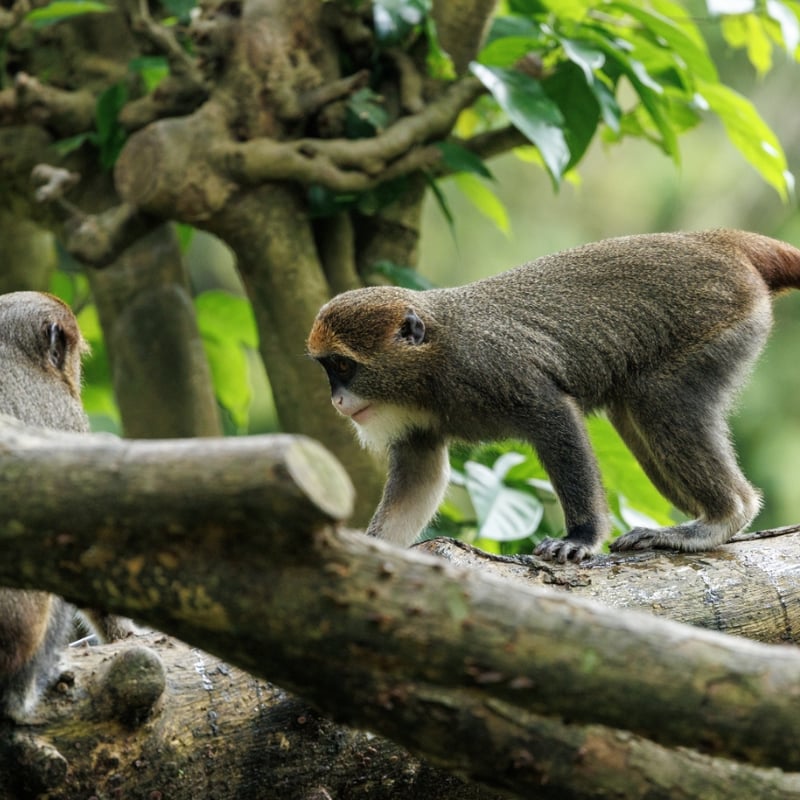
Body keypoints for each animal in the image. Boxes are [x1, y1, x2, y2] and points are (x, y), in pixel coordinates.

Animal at [307, 229, 800, 563]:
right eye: (327, 369)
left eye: (344, 367)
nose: (336, 402)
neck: (432, 359)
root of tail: (721, 242)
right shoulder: (417, 426)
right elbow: (419, 477)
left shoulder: (494, 368)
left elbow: (557, 420)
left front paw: (578, 538)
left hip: (720, 325)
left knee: (657, 401)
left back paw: (722, 517)